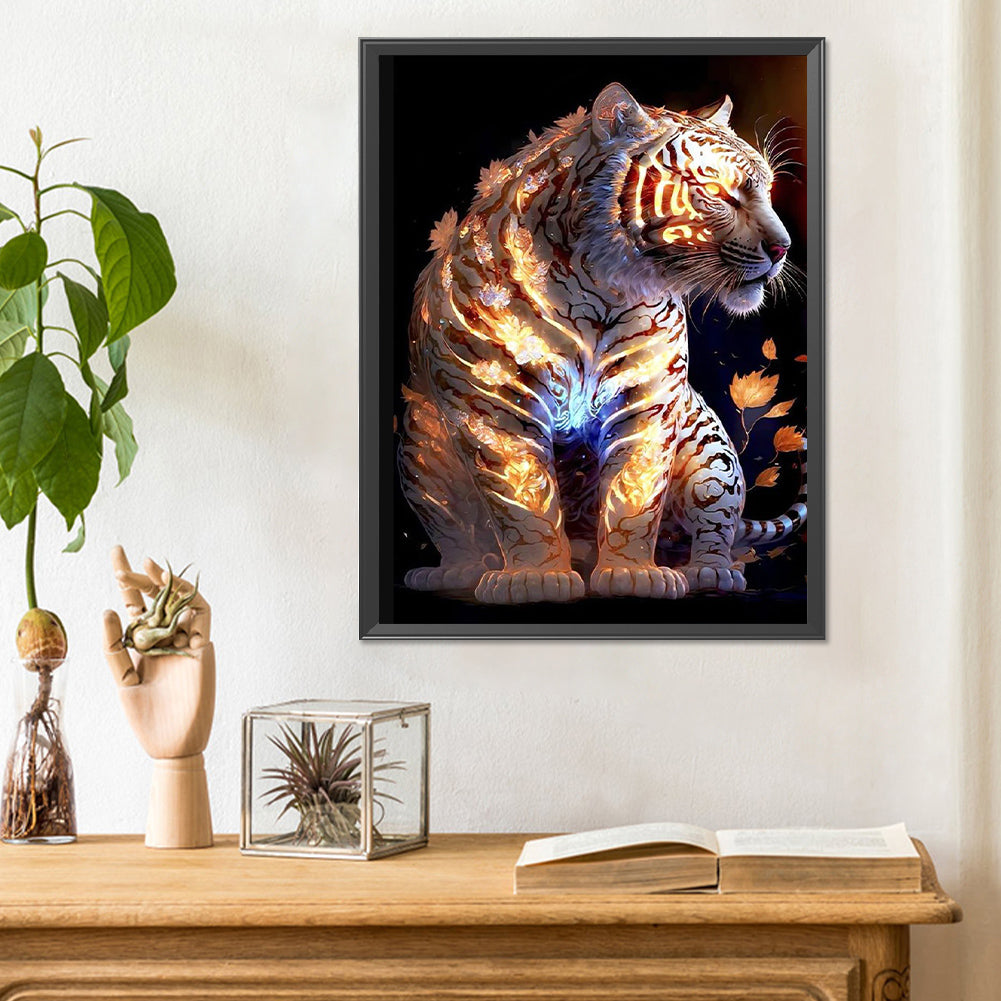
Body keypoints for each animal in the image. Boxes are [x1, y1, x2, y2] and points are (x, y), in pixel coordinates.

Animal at [398, 82, 807, 605]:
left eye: (769, 190)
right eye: (718, 192)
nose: (783, 248)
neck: (599, 292)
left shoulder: (648, 401)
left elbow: (636, 495)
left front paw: (634, 574)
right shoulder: (497, 404)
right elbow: (523, 500)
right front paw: (536, 577)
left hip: (712, 456)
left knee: (716, 525)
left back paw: (711, 572)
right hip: (420, 447)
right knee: (453, 525)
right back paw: (458, 570)